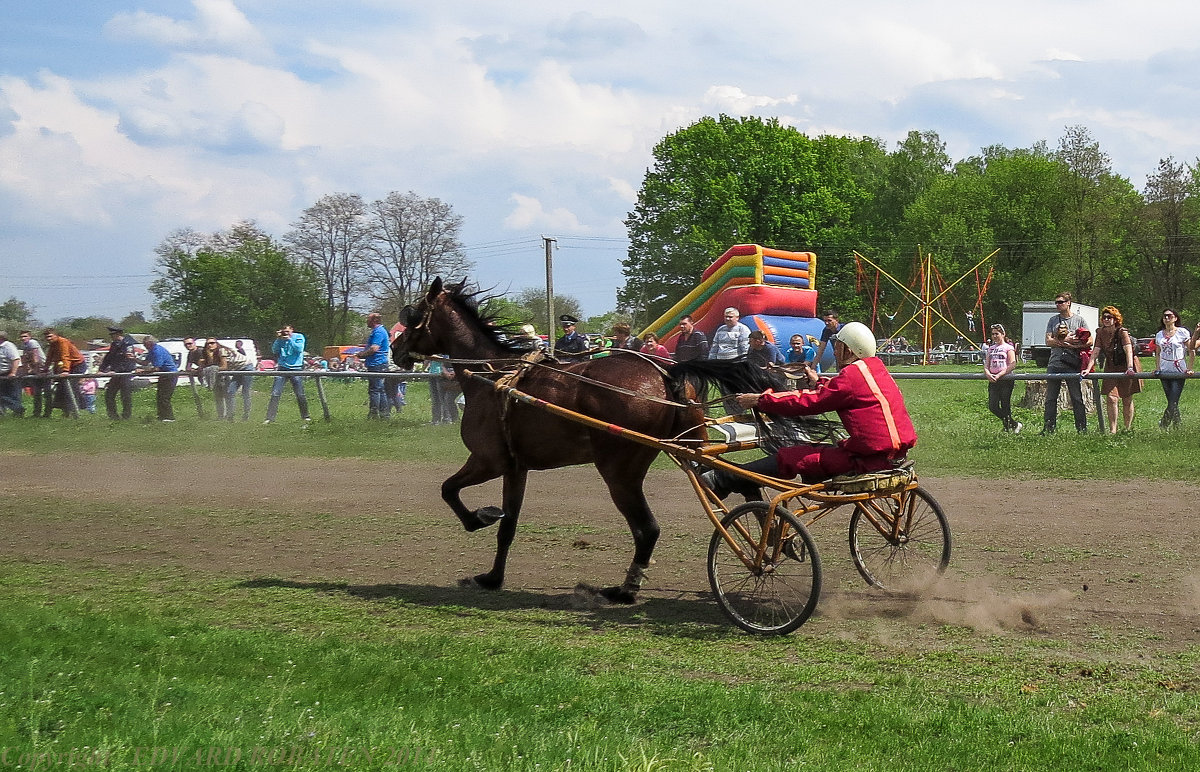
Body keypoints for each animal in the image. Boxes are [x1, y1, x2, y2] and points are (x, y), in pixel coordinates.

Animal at [393, 277, 715, 605]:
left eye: (414, 313)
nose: (395, 347)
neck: (493, 375)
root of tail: (665, 375)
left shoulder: (487, 461)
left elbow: (448, 489)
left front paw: (479, 518)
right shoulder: (515, 468)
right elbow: (507, 526)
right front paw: (493, 577)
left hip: (619, 473)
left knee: (647, 529)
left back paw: (624, 590)